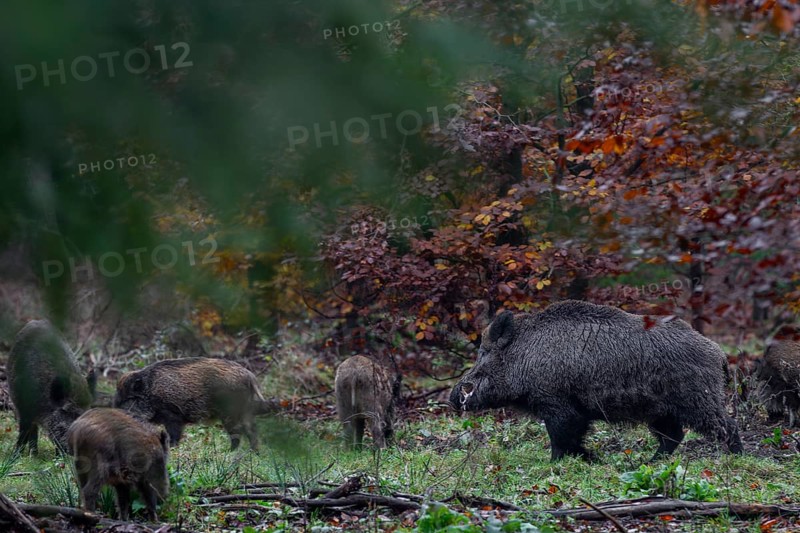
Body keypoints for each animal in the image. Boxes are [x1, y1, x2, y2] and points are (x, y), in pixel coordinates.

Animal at [7, 319, 96, 454]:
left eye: (85, 412)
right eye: (67, 411)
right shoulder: (23, 407)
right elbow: (23, 432)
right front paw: (15, 456)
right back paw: (33, 454)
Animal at [114, 357, 274, 450]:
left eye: (128, 399)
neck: (150, 392)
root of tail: (250, 376)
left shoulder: (173, 415)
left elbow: (174, 435)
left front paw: (172, 448)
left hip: (230, 413)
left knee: (238, 432)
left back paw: (230, 453)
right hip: (245, 411)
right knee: (251, 430)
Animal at [450, 300, 743, 461]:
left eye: (484, 353)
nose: (453, 397)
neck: (524, 355)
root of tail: (718, 353)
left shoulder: (557, 404)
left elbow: (560, 439)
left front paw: (555, 464)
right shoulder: (576, 411)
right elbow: (573, 439)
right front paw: (593, 459)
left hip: (698, 400)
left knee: (726, 425)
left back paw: (738, 457)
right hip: (661, 410)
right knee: (673, 436)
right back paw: (649, 463)